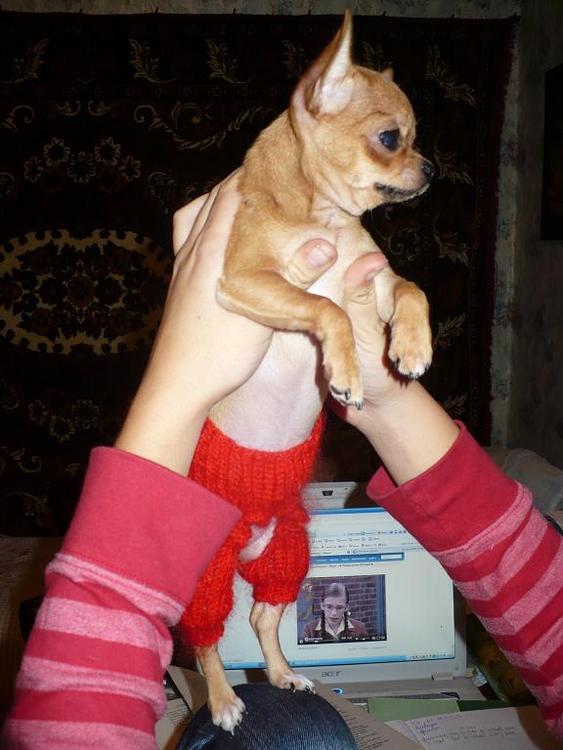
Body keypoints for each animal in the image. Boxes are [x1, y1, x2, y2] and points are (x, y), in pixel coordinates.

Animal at [181, 10, 433, 731]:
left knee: (264, 620)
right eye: (390, 138)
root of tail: (250, 540)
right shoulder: (245, 284)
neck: (327, 219)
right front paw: (346, 367)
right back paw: (225, 700)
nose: (430, 167)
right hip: (208, 574)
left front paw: (410, 348)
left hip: (287, 561)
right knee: (207, 639)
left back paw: (283, 674)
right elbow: (325, 305)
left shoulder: (375, 280)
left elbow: (410, 290)